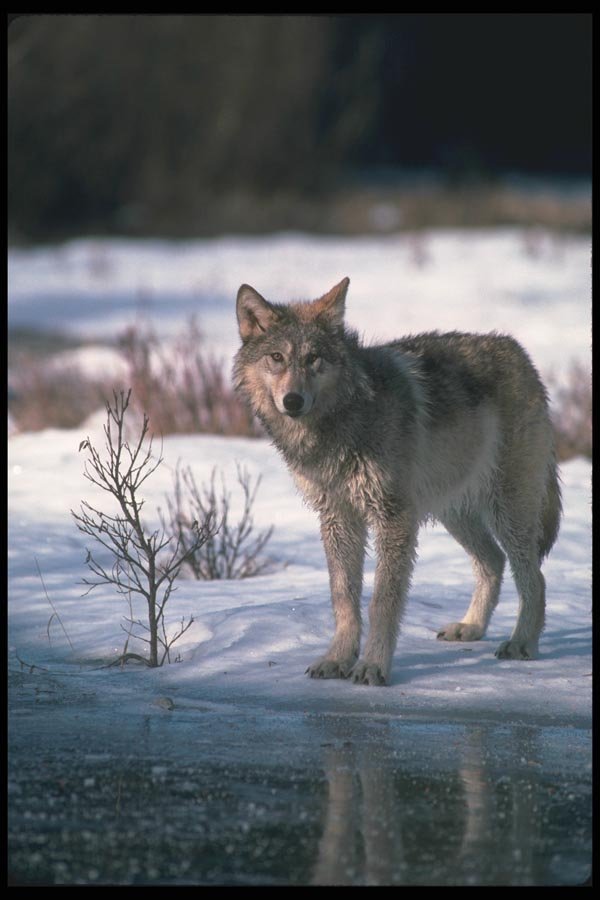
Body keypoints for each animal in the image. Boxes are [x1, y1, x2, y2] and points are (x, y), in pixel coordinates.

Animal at [233, 277, 561, 686]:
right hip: (456, 513)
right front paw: (337, 659)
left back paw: (521, 642)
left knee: (534, 578)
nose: (293, 400)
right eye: (276, 357)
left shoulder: (394, 516)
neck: (338, 426)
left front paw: (372, 666)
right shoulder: (338, 518)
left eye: (313, 359)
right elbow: (343, 597)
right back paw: (471, 627)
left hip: (508, 512)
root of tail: (519, 352)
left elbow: (382, 602)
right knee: (493, 561)